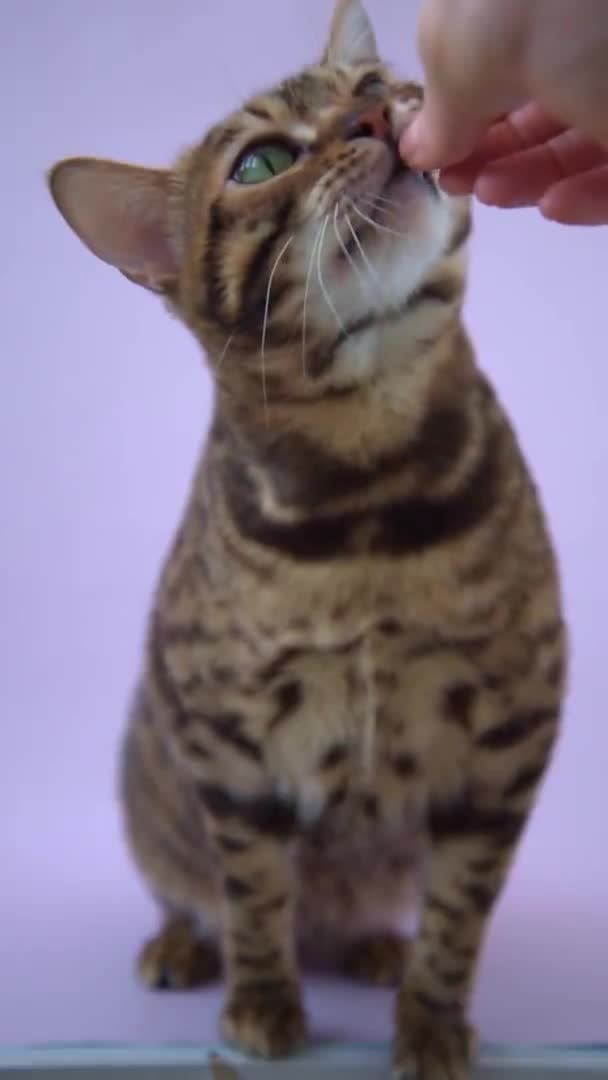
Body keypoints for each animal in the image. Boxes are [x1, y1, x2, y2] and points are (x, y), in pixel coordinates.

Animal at [49, 2, 570, 1080]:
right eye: (259, 163)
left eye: (374, 84)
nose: (375, 114)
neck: (367, 504)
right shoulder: (226, 745)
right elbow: (252, 894)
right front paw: (260, 1004)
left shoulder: (510, 735)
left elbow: (459, 910)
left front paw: (430, 1024)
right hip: (151, 799)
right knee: (193, 891)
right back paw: (179, 946)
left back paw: (372, 943)